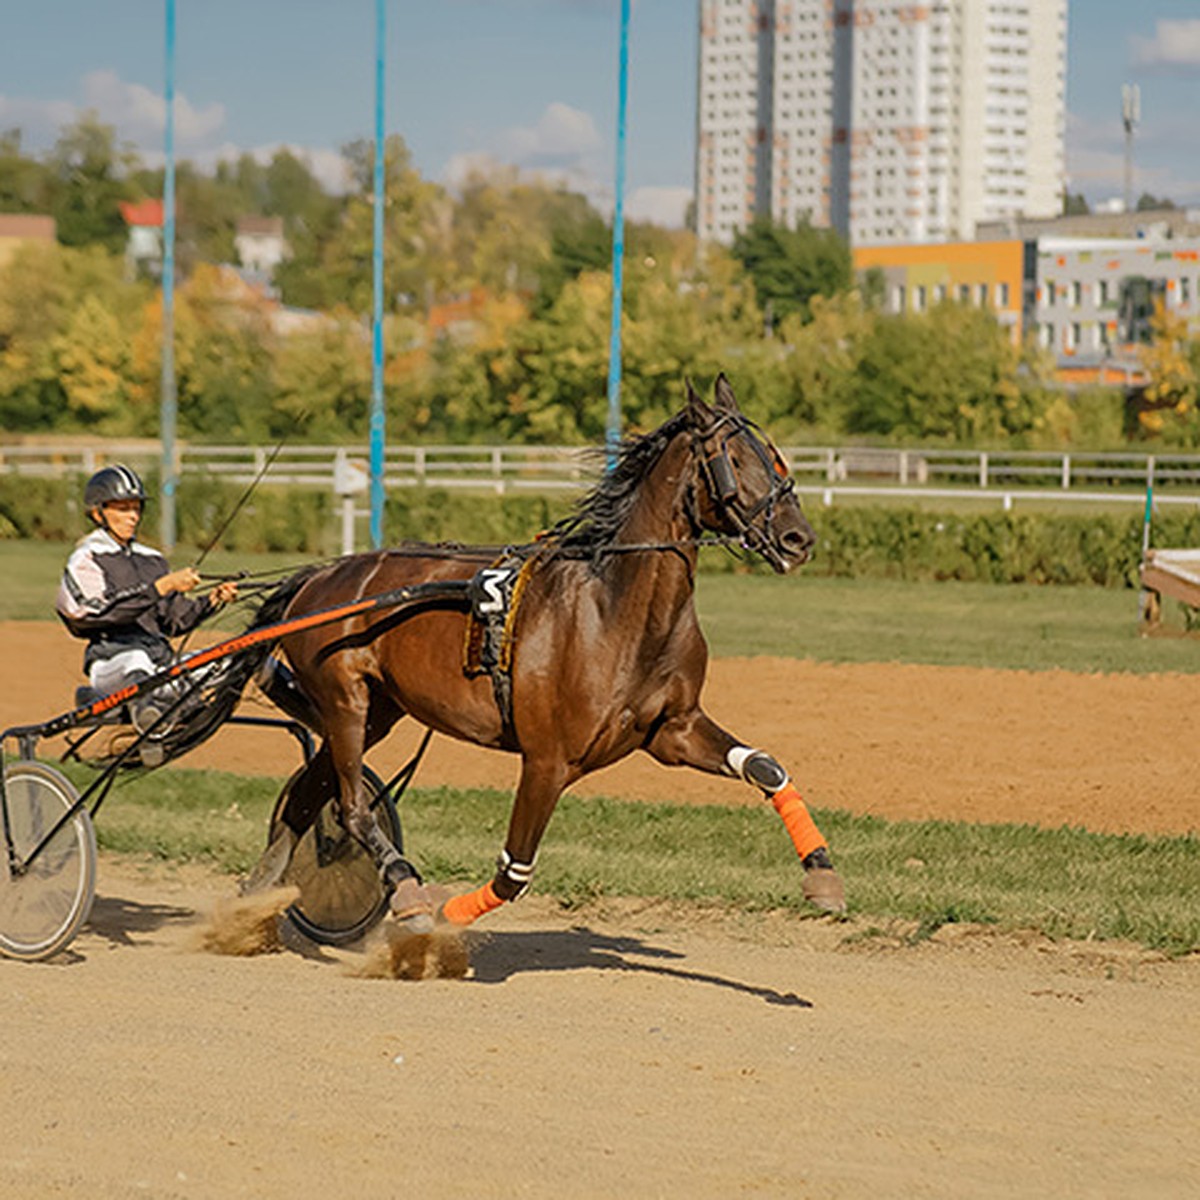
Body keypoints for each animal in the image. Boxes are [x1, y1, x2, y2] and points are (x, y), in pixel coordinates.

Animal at [256, 374, 845, 929]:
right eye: (734, 459)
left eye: (775, 458)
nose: (798, 538)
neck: (615, 611)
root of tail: (318, 576)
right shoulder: (547, 760)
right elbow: (514, 872)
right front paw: (443, 918)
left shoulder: (672, 730)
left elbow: (765, 767)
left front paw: (822, 873)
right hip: (346, 701)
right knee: (352, 807)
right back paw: (403, 890)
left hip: (377, 711)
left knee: (308, 799)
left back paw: (254, 902)